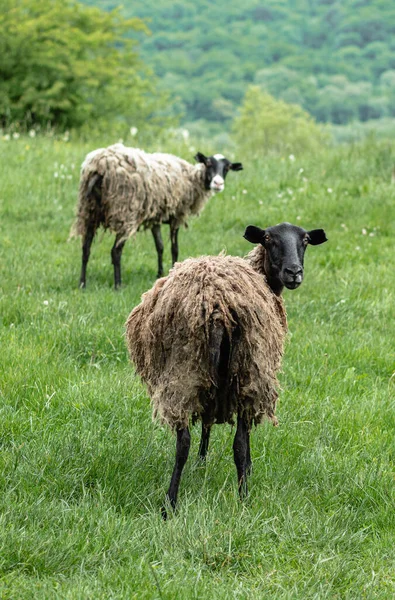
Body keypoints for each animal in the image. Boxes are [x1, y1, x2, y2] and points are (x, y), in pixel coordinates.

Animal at [126, 220, 328, 516]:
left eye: (304, 240)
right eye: (269, 239)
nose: (294, 272)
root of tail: (216, 306)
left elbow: (207, 424)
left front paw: (202, 461)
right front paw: (245, 468)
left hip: (187, 372)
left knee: (183, 442)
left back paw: (170, 504)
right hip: (244, 369)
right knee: (238, 443)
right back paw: (242, 498)